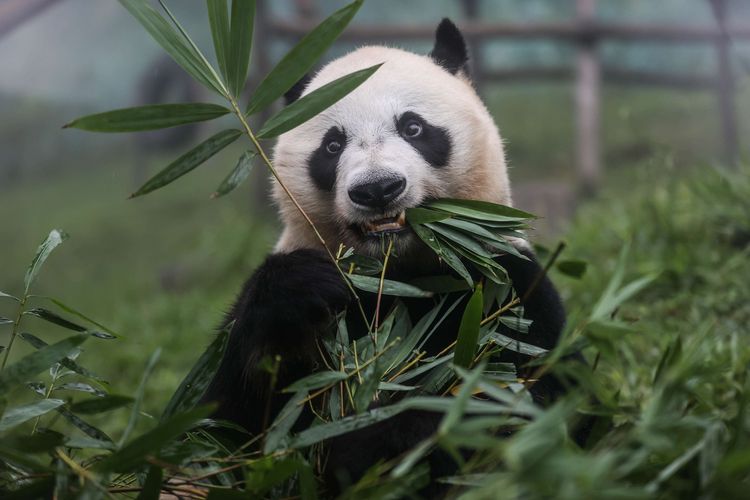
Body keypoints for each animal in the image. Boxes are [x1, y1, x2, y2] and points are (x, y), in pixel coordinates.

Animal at [203, 18, 580, 496]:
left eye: (413, 128)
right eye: (332, 146)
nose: (377, 188)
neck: (397, 273)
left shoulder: (508, 290)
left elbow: (524, 400)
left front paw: (373, 441)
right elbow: (228, 429)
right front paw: (300, 290)